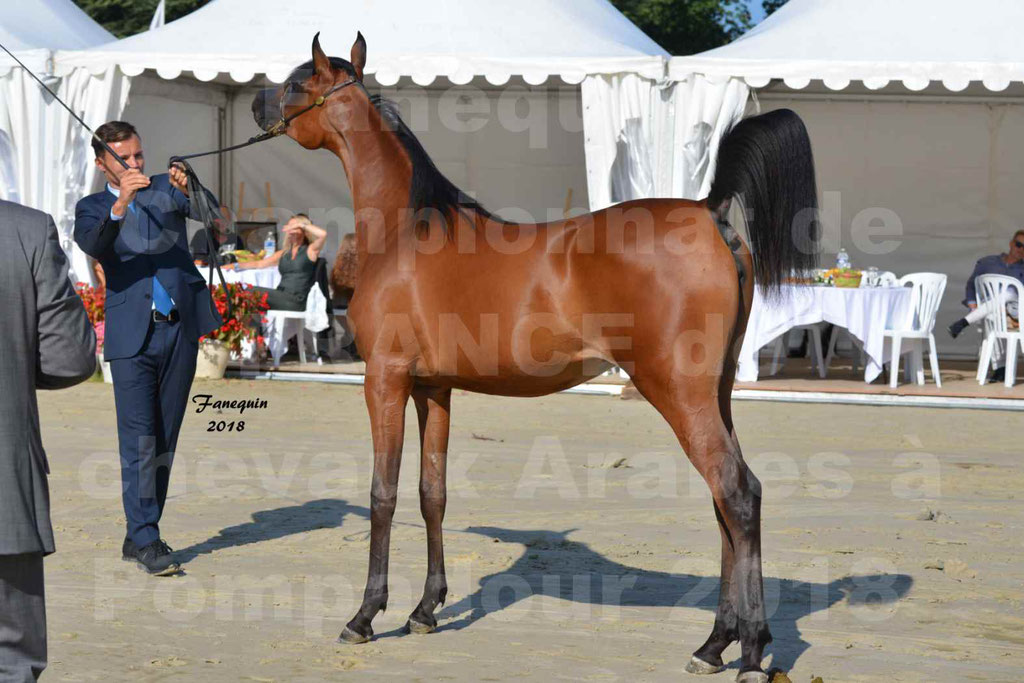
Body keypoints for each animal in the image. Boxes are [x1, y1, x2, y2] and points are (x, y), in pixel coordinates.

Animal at [251, 33, 819, 683]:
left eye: (297, 83)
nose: (256, 106)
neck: (405, 230)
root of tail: (710, 210)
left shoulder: (385, 381)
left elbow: (383, 494)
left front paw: (366, 616)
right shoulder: (433, 388)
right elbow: (431, 493)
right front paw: (425, 609)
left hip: (679, 392)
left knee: (738, 493)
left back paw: (749, 653)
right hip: (715, 394)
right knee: (725, 502)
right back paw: (714, 645)